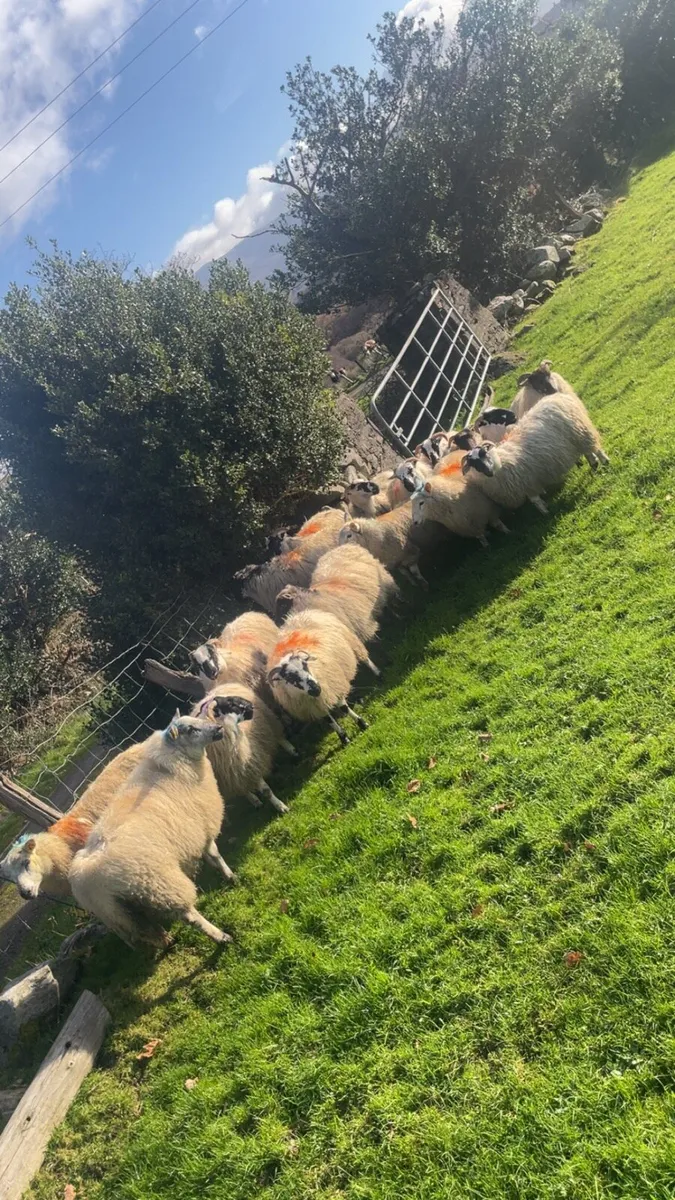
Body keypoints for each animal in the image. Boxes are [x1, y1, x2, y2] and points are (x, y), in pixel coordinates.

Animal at [69, 715, 234, 948]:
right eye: (190, 729)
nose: (218, 728)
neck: (173, 767)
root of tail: (85, 879)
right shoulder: (202, 827)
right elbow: (215, 855)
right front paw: (230, 876)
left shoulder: (192, 833)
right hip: (158, 883)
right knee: (188, 915)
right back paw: (220, 936)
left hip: (124, 912)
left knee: (142, 932)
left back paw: (166, 941)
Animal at [192, 685, 291, 815]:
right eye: (230, 703)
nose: (250, 705)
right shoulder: (233, 775)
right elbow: (242, 789)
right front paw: (255, 801)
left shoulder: (249, 765)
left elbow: (266, 790)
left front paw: (281, 806)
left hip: (269, 721)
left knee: (278, 736)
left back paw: (292, 750)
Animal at [267, 610, 376, 746]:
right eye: (290, 677)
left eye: (304, 664)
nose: (316, 689)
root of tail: (298, 615)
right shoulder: (315, 706)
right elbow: (329, 721)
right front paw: (344, 738)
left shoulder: (333, 688)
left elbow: (344, 709)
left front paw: (363, 724)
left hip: (351, 641)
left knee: (365, 658)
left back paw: (378, 674)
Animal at [461, 392, 609, 514]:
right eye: (474, 464)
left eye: (483, 453)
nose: (488, 472)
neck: (502, 461)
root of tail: (556, 397)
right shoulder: (526, 483)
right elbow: (536, 499)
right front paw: (545, 507)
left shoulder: (527, 480)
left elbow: (535, 500)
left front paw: (545, 512)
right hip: (575, 437)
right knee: (587, 451)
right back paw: (594, 464)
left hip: (581, 432)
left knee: (594, 449)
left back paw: (605, 462)